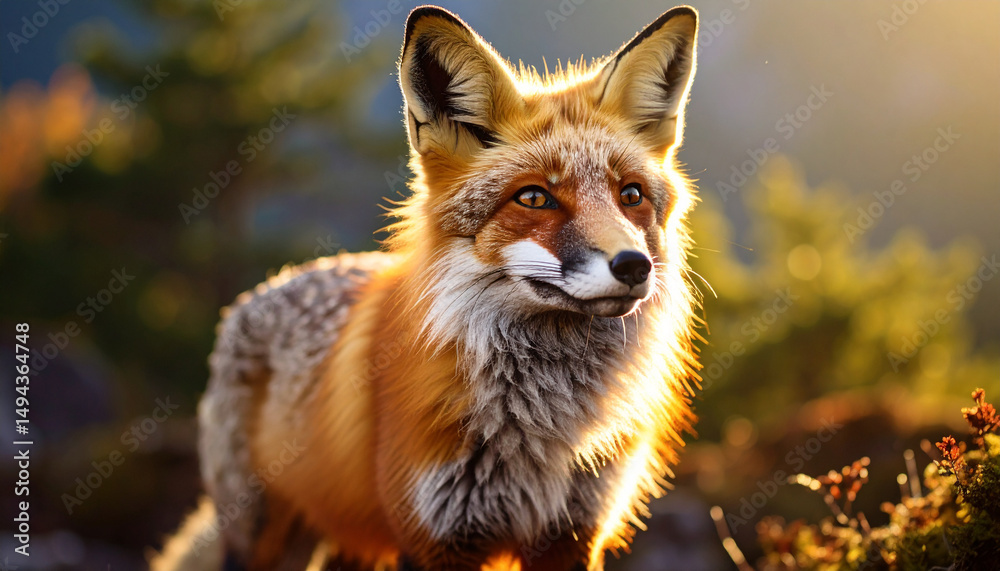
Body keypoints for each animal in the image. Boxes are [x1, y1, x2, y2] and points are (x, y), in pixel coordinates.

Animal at [151, 5, 702, 571]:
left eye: (630, 195)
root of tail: (262, 290)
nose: (634, 266)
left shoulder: (571, 535)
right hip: (260, 534)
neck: (540, 427)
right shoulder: (434, 536)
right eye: (534, 198)